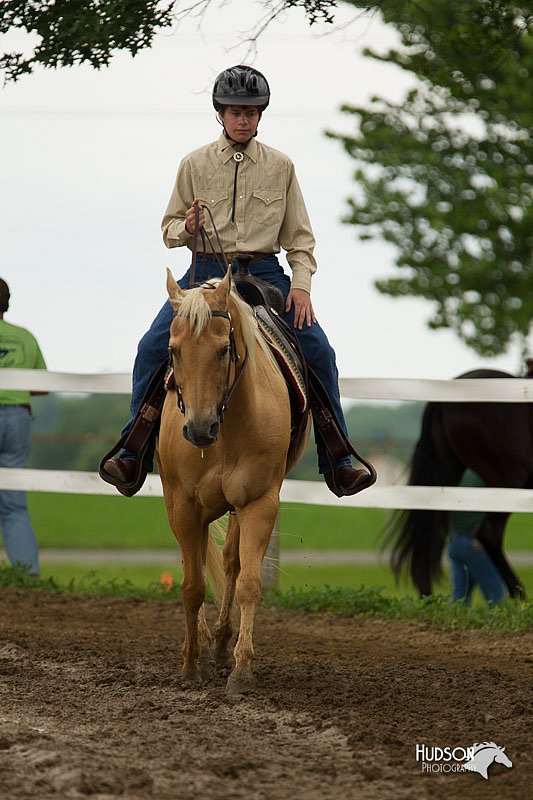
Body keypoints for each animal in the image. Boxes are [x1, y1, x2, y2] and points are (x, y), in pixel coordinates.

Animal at [156, 268, 310, 692]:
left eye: (224, 349)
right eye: (173, 350)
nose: (199, 429)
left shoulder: (259, 502)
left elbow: (247, 582)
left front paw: (241, 668)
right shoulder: (184, 505)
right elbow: (192, 586)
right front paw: (190, 665)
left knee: (229, 563)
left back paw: (223, 644)